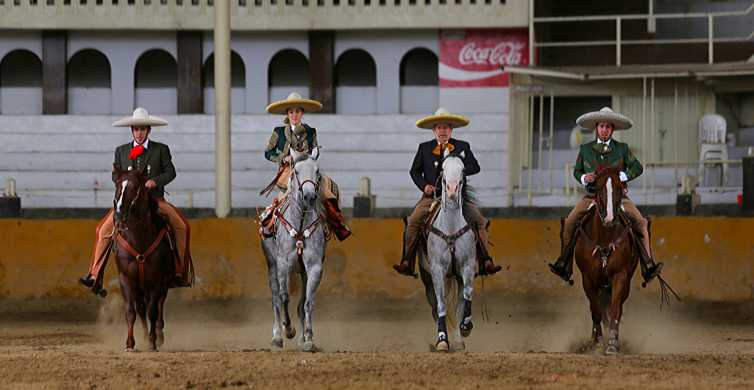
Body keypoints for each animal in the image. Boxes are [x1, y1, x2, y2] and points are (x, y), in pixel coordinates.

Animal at [111, 166, 173, 352]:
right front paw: (130, 343)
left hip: (163, 282)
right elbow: (131, 311)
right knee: (140, 308)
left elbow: (153, 311)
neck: (139, 239)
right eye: (118, 185)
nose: (119, 213)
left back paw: (158, 335)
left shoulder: (157, 280)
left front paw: (153, 342)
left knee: (159, 305)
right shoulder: (125, 278)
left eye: (134, 188)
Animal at [260, 148, 324, 352]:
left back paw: (302, 339)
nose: (309, 196)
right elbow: (284, 297)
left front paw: (309, 339)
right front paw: (288, 330)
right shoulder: (283, 265)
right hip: (272, 267)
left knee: (301, 303)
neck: (300, 223)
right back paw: (277, 337)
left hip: (302, 273)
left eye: (317, 171)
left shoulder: (314, 267)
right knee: (276, 300)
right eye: (295, 171)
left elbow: (308, 302)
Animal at [418, 155, 476, 354]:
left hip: (456, 277)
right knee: (436, 307)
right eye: (442, 169)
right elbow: (441, 305)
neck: (450, 228)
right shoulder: (437, 271)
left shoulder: (467, 267)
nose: (451, 189)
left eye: (463, 169)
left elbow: (467, 295)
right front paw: (442, 340)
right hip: (428, 280)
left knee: (459, 304)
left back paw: (458, 340)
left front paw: (466, 326)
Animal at [576, 166, 636, 354]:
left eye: (619, 188)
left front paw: (612, 344)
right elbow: (595, 310)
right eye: (599, 187)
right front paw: (596, 342)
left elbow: (615, 309)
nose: (609, 218)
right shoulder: (587, 278)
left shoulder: (620, 276)